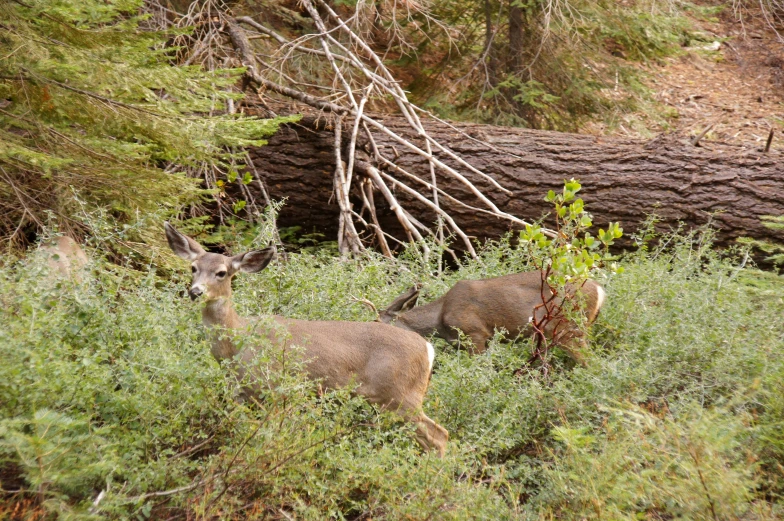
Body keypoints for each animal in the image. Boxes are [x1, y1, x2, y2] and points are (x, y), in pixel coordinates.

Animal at [165, 222, 448, 456]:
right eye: (193, 268)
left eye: (222, 272)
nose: (195, 291)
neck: (236, 344)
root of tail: (428, 348)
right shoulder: (240, 394)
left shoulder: (274, 388)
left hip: (400, 394)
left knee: (439, 434)